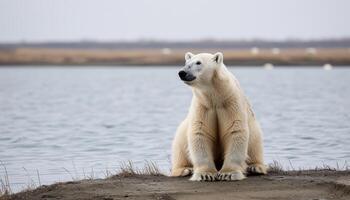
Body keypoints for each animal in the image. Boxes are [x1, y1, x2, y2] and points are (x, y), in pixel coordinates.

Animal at [171, 52, 266, 181]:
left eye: (198, 62)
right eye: (186, 62)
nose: (182, 72)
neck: (216, 96)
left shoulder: (231, 103)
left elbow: (235, 130)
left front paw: (228, 173)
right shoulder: (203, 106)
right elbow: (200, 131)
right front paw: (205, 174)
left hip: (254, 128)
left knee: (256, 143)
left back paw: (255, 167)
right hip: (182, 130)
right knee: (179, 146)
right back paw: (185, 169)